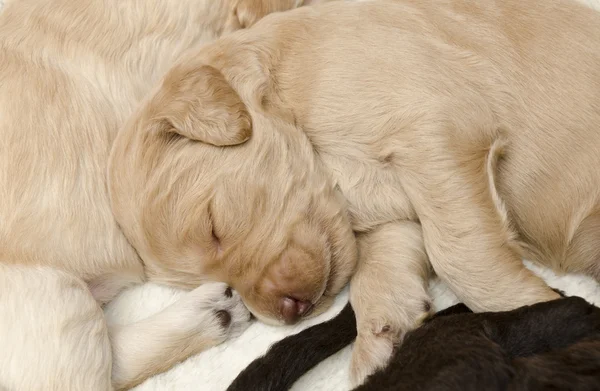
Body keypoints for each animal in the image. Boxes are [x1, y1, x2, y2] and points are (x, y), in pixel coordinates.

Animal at [109, 0, 600, 386]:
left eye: (215, 225)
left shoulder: (439, 130)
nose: (288, 313)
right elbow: (383, 267)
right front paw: (381, 341)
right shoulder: (394, 210)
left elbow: (461, 255)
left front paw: (539, 308)